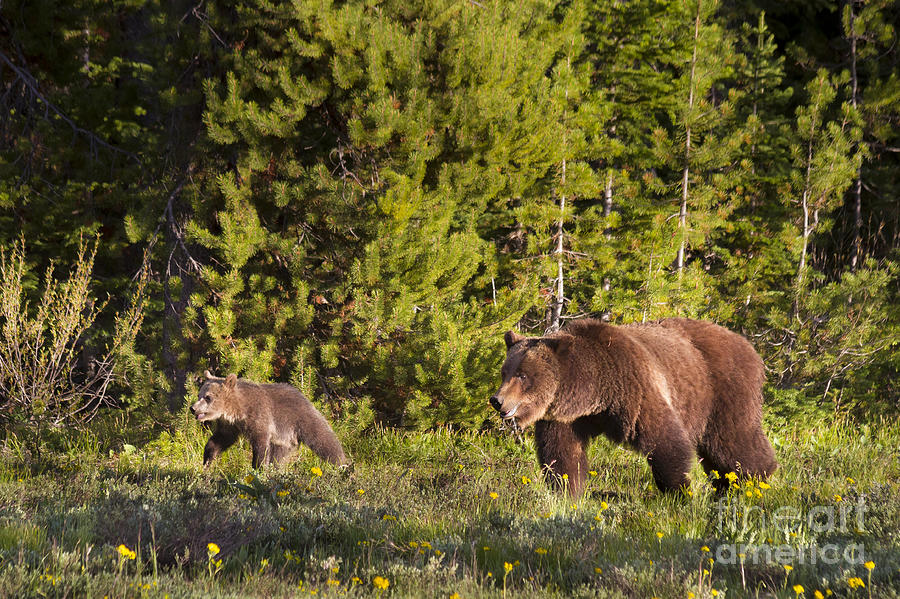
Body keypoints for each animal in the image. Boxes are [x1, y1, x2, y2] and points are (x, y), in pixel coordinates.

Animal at [190, 372, 348, 472]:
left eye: (208, 397)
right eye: (199, 394)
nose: (193, 408)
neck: (238, 410)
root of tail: (307, 398)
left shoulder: (260, 416)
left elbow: (261, 444)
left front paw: (258, 468)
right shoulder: (231, 425)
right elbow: (220, 439)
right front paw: (207, 460)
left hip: (302, 419)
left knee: (324, 440)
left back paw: (341, 465)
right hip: (284, 440)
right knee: (278, 456)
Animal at [488, 322, 776, 494]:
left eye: (523, 375)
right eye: (505, 372)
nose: (497, 400)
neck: (594, 391)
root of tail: (748, 345)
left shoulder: (636, 389)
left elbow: (666, 442)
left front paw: (678, 490)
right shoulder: (565, 417)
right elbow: (562, 454)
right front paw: (566, 492)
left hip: (721, 390)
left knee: (733, 441)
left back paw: (755, 478)